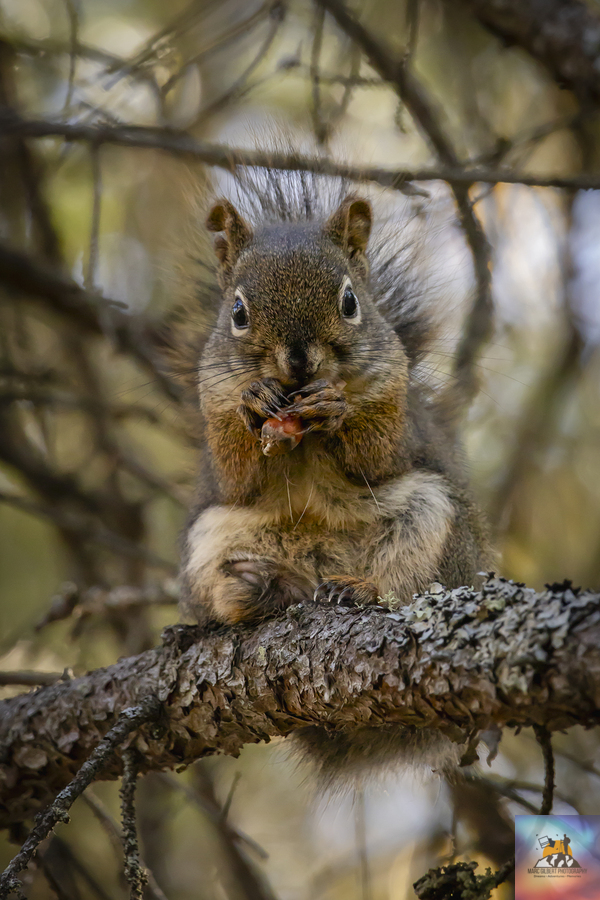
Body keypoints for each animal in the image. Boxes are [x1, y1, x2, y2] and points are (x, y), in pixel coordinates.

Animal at [177, 172, 491, 777]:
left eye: (349, 302)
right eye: (238, 312)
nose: (299, 362)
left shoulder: (397, 412)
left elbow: (378, 455)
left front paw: (336, 407)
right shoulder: (215, 409)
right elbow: (237, 474)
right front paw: (256, 401)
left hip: (433, 522)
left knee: (405, 588)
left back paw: (355, 590)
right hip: (210, 542)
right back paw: (261, 591)